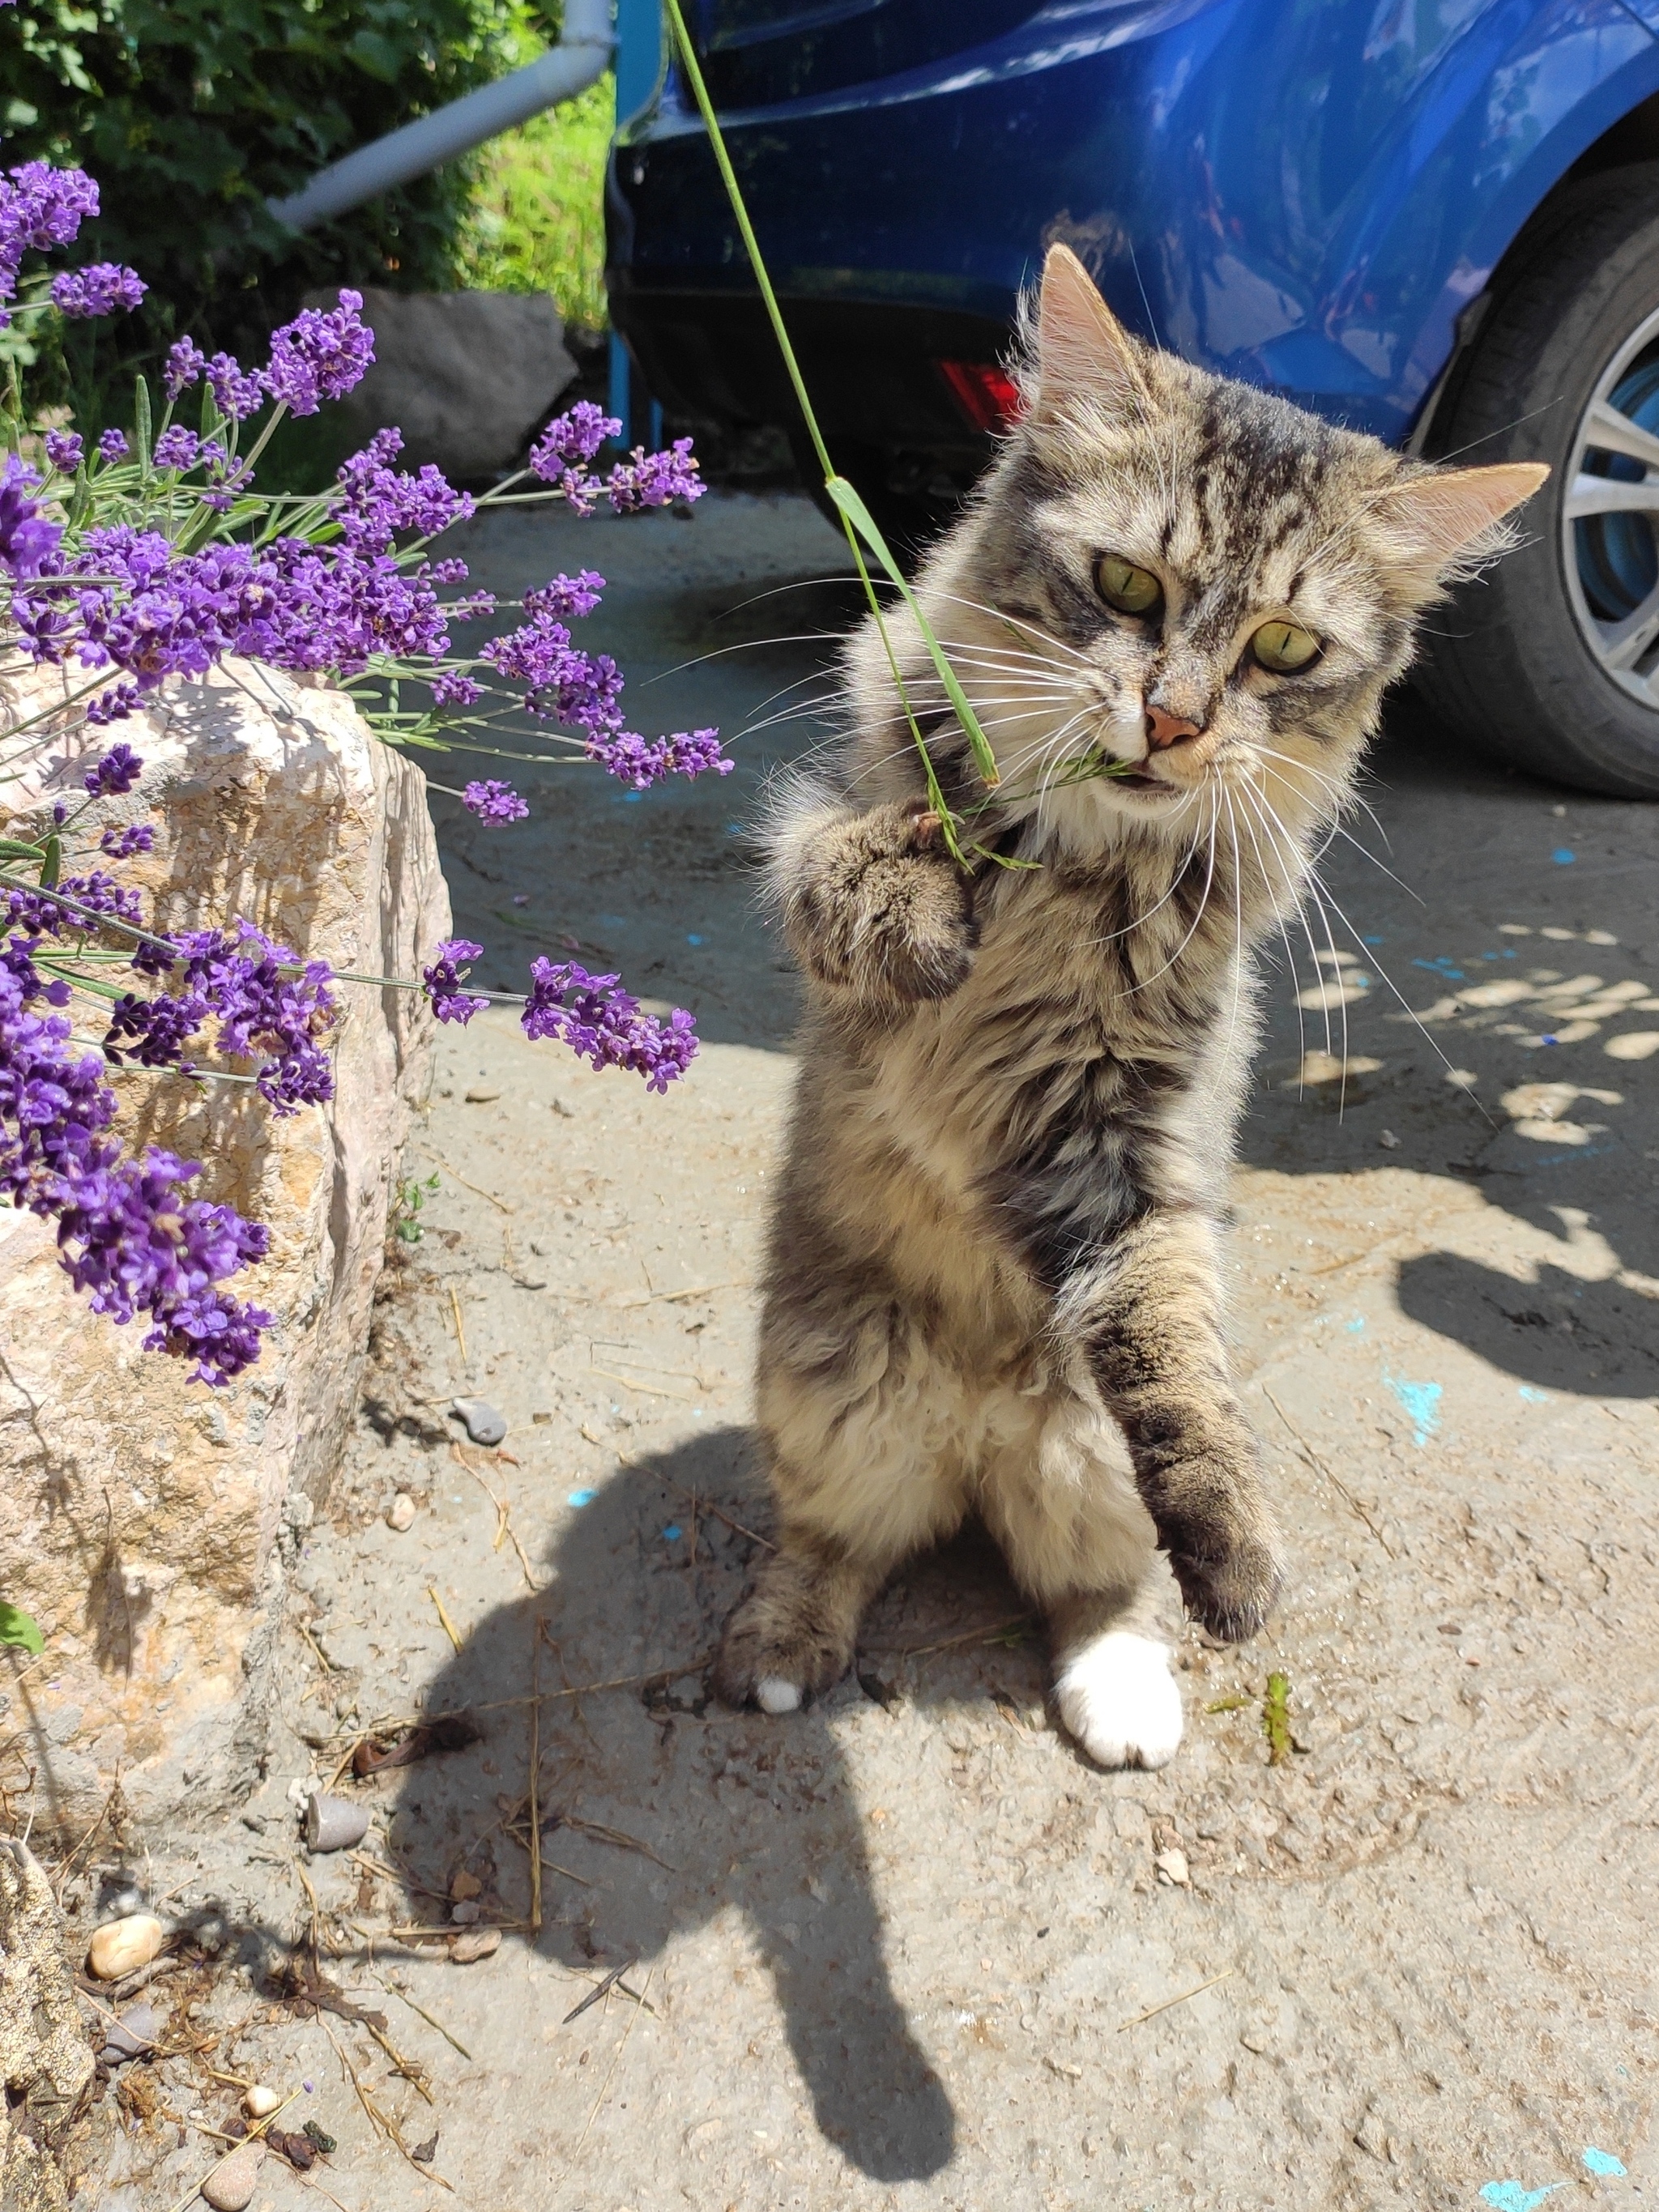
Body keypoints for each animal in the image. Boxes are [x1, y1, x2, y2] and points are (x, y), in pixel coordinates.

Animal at [716, 242, 1548, 1760]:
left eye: (1281, 649)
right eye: (1123, 584)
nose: (1170, 720)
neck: (1077, 866)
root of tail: (978, 1439)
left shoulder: (1118, 1134)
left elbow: (1164, 1354)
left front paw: (1236, 1558)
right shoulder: (829, 820)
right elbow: (848, 867)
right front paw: (929, 907)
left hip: (1076, 1452)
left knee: (1094, 1585)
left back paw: (1127, 1692)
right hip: (828, 1389)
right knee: (833, 1544)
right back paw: (780, 1647)